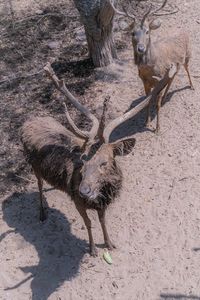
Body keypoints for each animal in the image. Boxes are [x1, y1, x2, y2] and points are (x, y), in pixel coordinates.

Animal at [20, 62, 177, 255]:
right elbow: (88, 223)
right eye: (82, 163)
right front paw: (93, 248)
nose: (83, 190)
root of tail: (26, 123)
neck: (101, 196)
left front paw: (109, 243)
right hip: (33, 165)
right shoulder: (78, 202)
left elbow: (102, 221)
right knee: (40, 185)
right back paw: (42, 213)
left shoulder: (102, 205)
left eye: (104, 162)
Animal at [114, 0, 194, 132]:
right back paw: (166, 96)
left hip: (187, 54)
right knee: (174, 75)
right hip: (175, 66)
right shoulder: (145, 81)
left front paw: (157, 128)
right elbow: (148, 102)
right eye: (132, 33)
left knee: (187, 69)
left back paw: (192, 86)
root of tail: (184, 31)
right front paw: (146, 122)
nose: (141, 48)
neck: (150, 70)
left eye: (147, 31)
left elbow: (157, 104)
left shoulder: (160, 78)